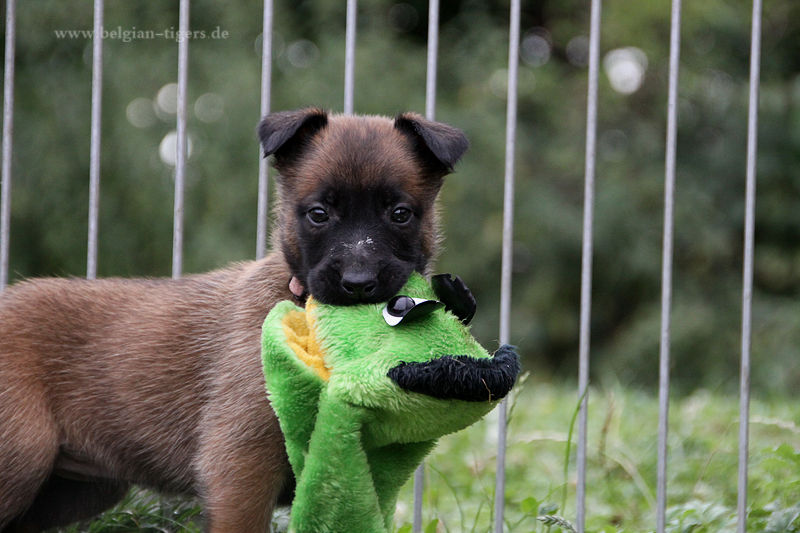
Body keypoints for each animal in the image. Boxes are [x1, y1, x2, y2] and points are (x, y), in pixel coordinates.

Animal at [0, 107, 468, 533]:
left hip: (74, 490)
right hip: (24, 456)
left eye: (400, 214)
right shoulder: (240, 468)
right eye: (318, 214)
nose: (357, 283)